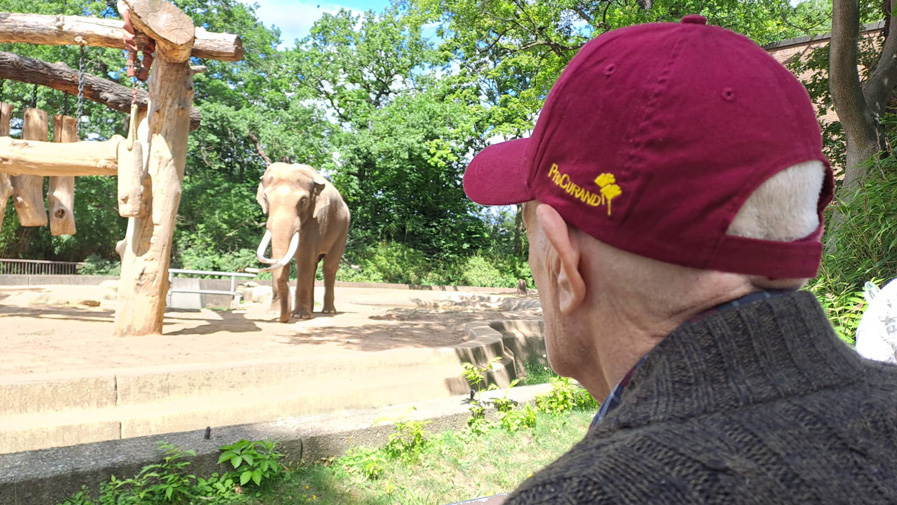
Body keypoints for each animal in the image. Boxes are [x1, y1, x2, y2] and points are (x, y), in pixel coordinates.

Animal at [252, 163, 354, 320]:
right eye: (266, 200)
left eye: (303, 202)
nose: (283, 319)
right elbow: (282, 258)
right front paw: (274, 313)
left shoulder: (317, 219)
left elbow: (304, 257)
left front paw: (300, 316)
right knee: (314, 265)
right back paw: (311, 310)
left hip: (343, 229)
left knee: (329, 267)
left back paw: (328, 312)